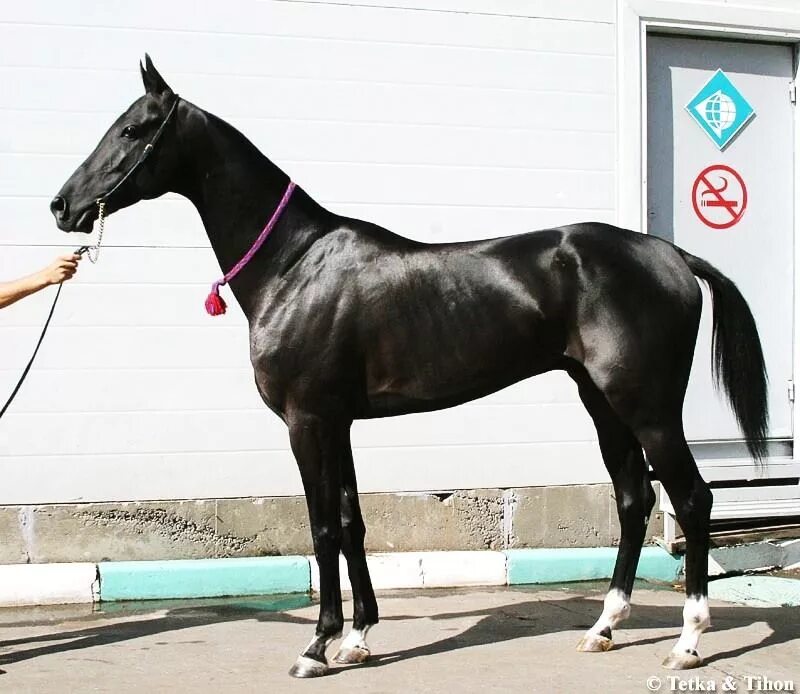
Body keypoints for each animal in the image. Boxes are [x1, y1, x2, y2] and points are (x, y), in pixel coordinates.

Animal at [51, 58, 768, 680]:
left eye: (134, 129)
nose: (62, 206)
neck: (293, 264)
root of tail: (672, 256)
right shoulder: (337, 423)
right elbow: (350, 522)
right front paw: (358, 638)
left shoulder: (306, 422)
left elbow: (321, 527)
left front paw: (316, 646)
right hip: (601, 401)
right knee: (633, 498)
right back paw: (603, 627)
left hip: (649, 409)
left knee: (692, 499)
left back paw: (687, 641)